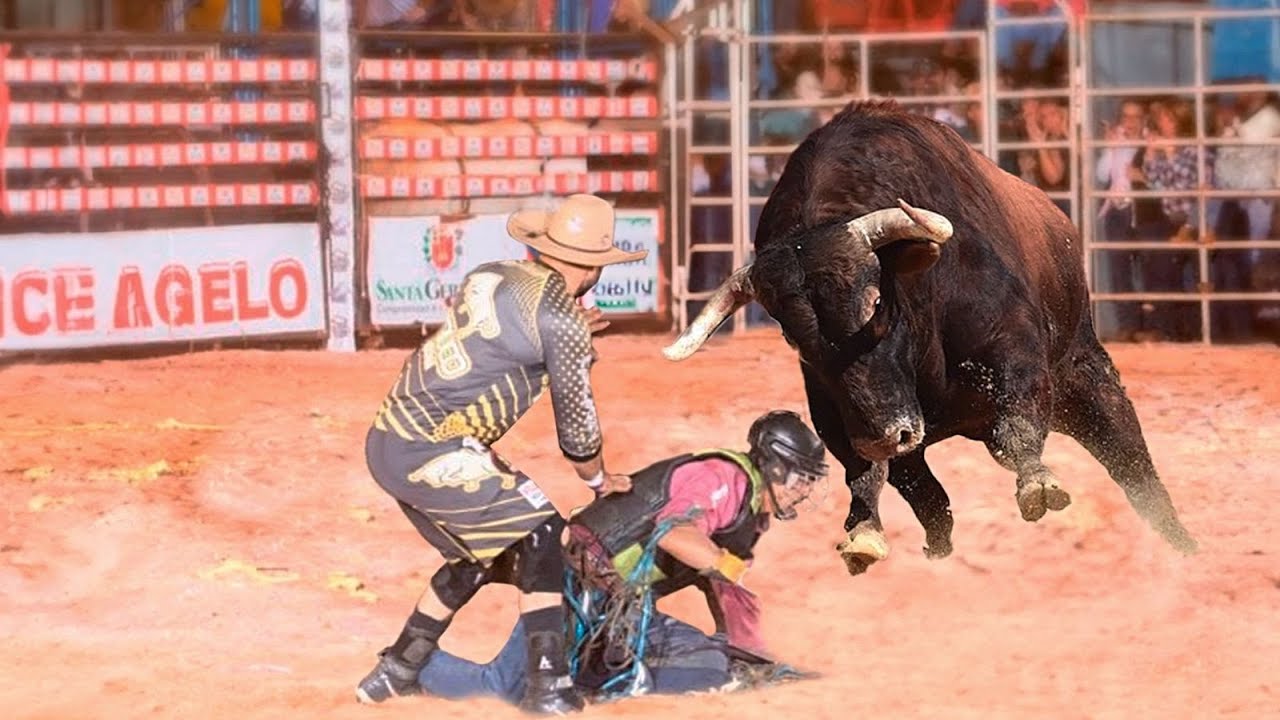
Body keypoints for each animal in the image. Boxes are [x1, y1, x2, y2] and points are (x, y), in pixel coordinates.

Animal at [665, 99, 1192, 571]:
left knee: (1136, 470)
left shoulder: (1012, 349)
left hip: (1088, 381)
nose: (884, 437)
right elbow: (902, 488)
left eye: (875, 301)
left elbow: (1017, 425)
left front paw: (1038, 484)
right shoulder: (840, 415)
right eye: (793, 337)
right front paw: (866, 534)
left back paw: (1187, 548)